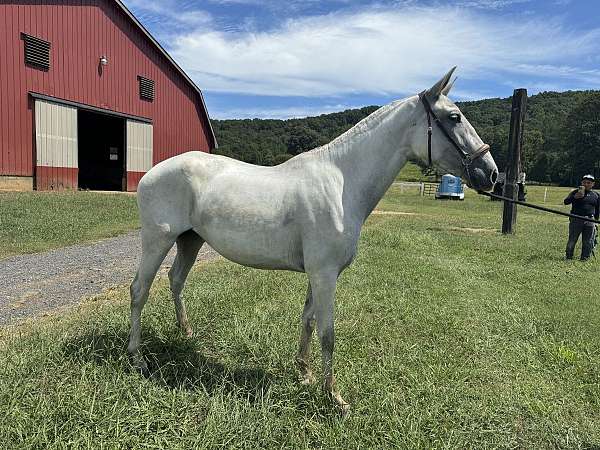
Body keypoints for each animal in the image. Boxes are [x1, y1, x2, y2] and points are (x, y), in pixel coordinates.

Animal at [125, 67, 496, 414]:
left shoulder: (317, 273)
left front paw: (304, 373)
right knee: (140, 290)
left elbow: (308, 319)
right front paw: (334, 398)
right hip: (157, 241)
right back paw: (136, 357)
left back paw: (186, 333)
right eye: (454, 117)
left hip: (190, 240)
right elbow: (328, 334)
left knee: (175, 280)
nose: (490, 173)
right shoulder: (325, 274)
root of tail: (151, 173)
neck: (342, 183)